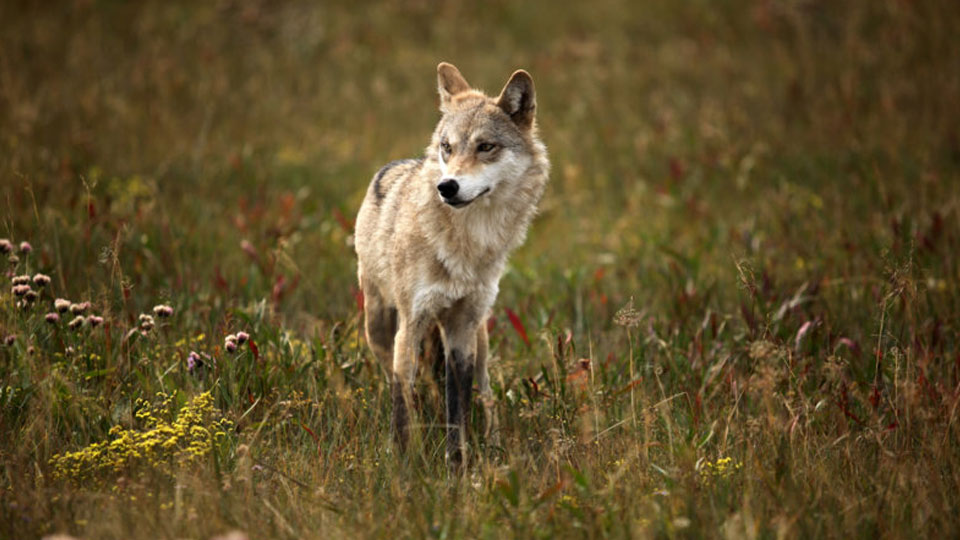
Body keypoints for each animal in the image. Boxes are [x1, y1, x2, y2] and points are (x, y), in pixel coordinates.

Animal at [354, 62, 548, 468]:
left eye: (485, 146)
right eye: (447, 147)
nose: (447, 187)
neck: (466, 244)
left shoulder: (462, 328)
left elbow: (457, 407)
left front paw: (457, 465)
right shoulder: (411, 324)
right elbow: (402, 406)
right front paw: (402, 466)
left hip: (481, 339)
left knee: (485, 395)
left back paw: (492, 445)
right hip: (379, 328)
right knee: (402, 385)